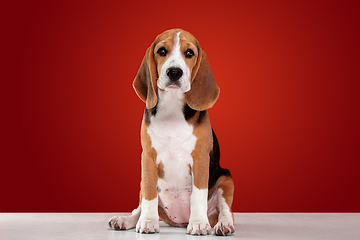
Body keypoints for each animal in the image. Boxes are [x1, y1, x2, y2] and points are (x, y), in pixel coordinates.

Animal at [108, 28, 235, 236]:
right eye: (161, 51)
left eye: (189, 53)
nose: (174, 72)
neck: (172, 107)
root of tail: (179, 221)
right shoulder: (148, 158)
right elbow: (149, 195)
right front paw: (148, 221)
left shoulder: (201, 159)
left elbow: (198, 194)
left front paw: (198, 223)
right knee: (140, 206)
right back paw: (125, 219)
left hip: (226, 180)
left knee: (225, 211)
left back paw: (223, 225)